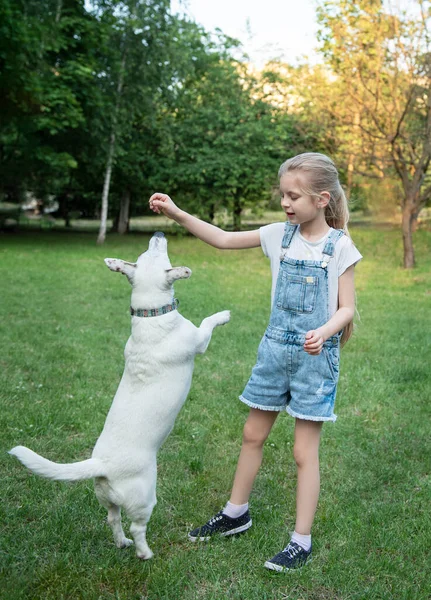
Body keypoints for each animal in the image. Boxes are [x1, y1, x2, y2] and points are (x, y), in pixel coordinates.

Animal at [8, 232, 231, 560]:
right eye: (157, 253)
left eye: (144, 254)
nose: (159, 234)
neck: (149, 316)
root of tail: (102, 464)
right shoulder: (199, 340)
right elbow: (207, 322)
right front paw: (224, 315)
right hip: (145, 498)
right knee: (138, 527)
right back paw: (144, 553)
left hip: (107, 499)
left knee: (112, 519)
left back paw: (121, 542)